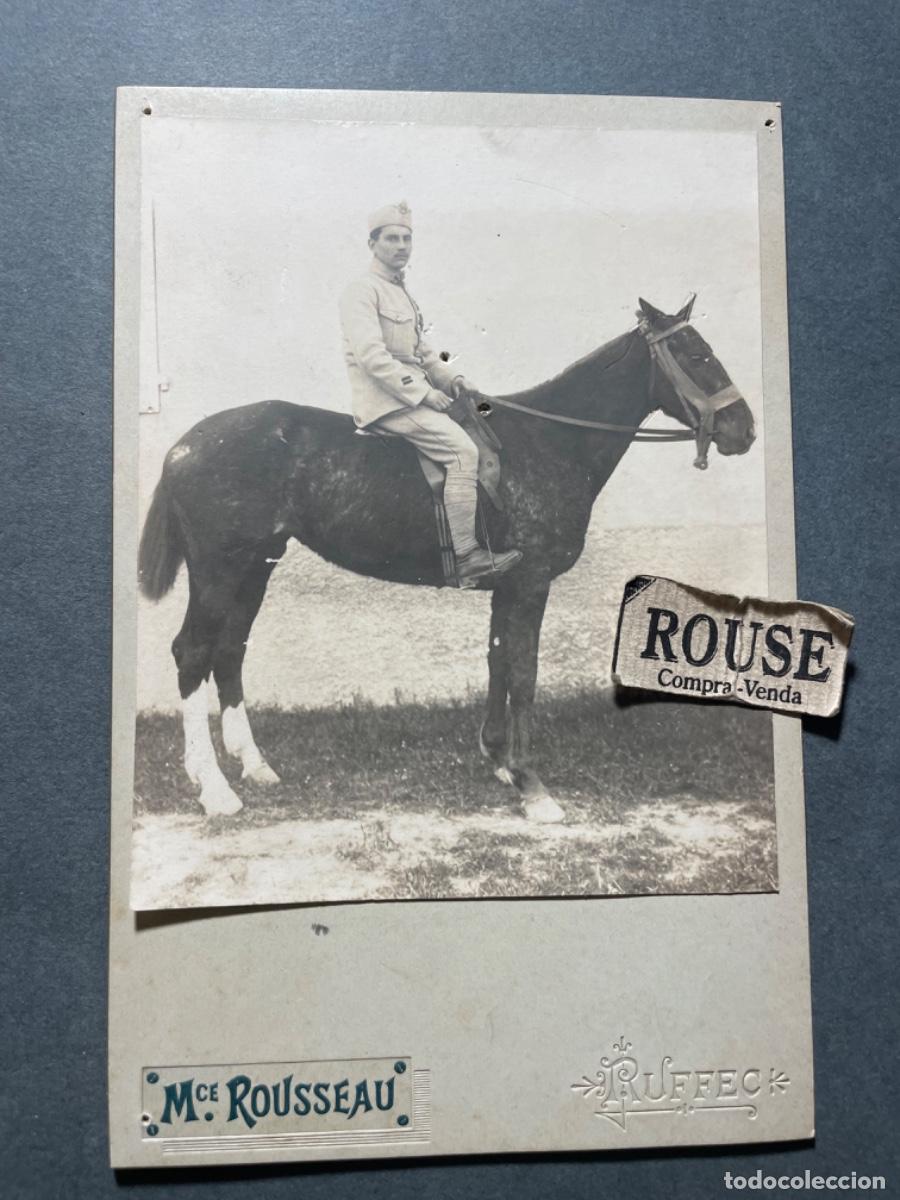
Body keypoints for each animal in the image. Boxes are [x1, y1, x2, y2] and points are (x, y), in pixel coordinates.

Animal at [137, 296, 756, 821]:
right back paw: (214, 789)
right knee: (193, 653)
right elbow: (523, 674)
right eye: (696, 355)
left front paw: (501, 761)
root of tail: (185, 445)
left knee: (229, 652)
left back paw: (255, 766)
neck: (548, 442)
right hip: (220, 571)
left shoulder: (509, 587)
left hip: (253, 569)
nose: (744, 430)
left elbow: (497, 661)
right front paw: (533, 786)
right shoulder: (530, 585)